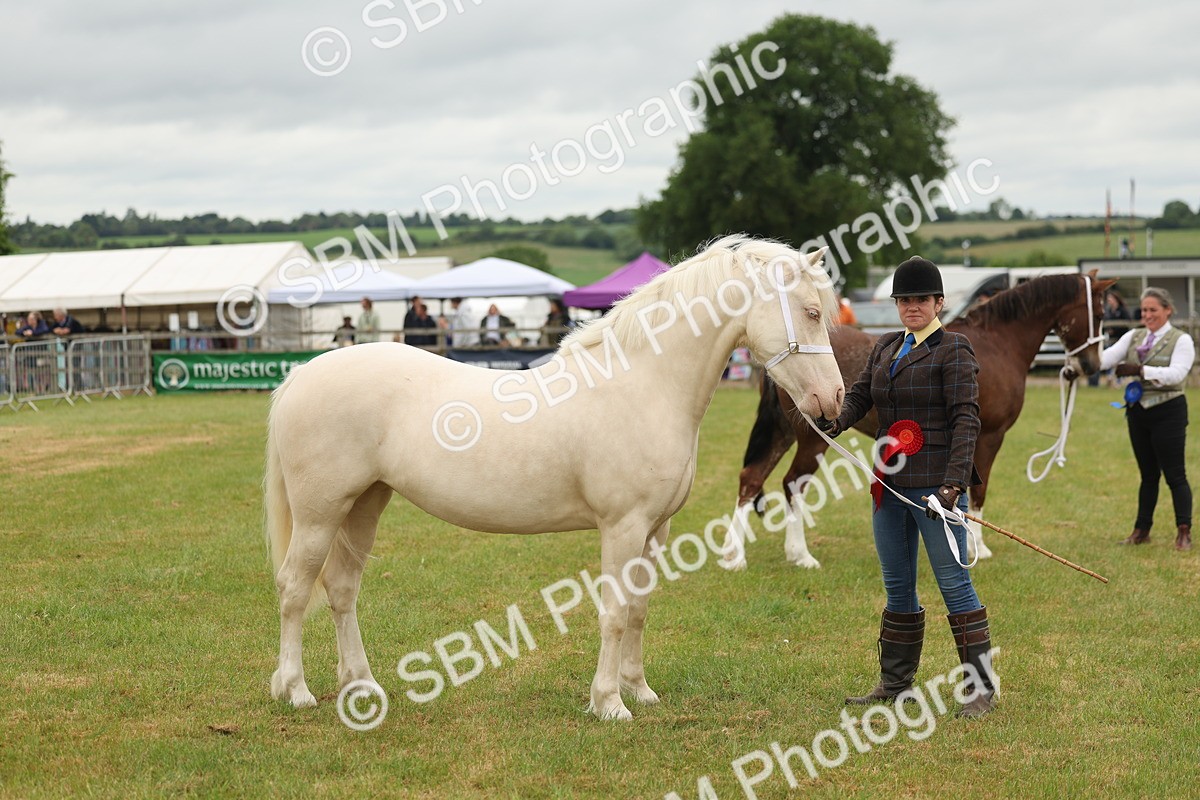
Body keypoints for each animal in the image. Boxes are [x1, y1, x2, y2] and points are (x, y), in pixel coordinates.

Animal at [264, 236, 846, 721]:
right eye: (812, 312)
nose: (834, 400)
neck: (642, 386)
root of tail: (301, 374)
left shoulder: (655, 530)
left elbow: (639, 611)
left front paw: (639, 690)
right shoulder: (622, 527)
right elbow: (614, 612)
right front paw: (609, 704)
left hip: (364, 504)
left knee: (341, 588)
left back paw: (362, 686)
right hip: (320, 514)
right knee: (294, 588)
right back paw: (295, 690)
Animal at [719, 270, 1114, 571]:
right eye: (1099, 314)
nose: (1090, 365)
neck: (999, 344)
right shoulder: (989, 436)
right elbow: (979, 490)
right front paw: (978, 547)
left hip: (786, 432)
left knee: (753, 478)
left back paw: (741, 556)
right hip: (811, 438)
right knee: (792, 484)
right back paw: (799, 555)